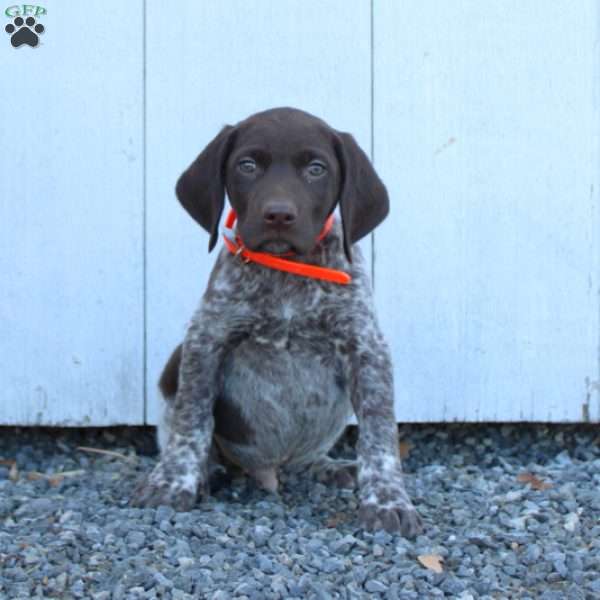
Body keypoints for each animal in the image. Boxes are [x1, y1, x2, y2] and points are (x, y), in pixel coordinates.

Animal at [131, 106, 422, 536]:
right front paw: (173, 482)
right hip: (175, 362)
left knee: (309, 458)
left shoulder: (366, 349)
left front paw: (387, 500)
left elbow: (379, 433)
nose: (279, 215)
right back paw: (209, 472)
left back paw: (328, 467)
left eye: (316, 169)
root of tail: (271, 469)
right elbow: (191, 420)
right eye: (247, 165)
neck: (286, 270)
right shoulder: (206, 338)